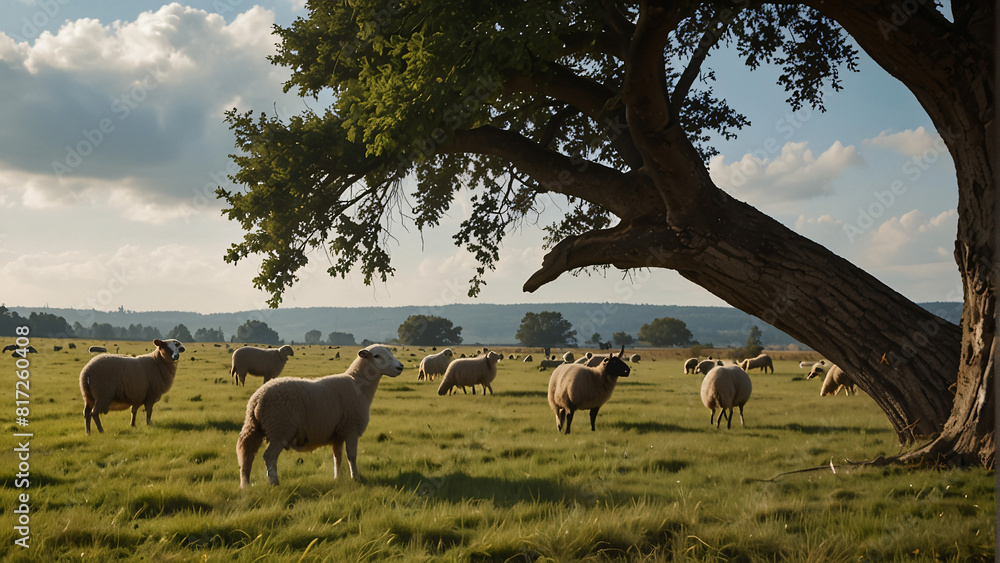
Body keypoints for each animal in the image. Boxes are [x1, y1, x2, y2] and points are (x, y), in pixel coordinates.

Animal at [237, 344, 403, 487]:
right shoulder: (351, 428)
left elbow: (337, 457)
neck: (358, 383)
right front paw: (355, 477)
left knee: (247, 453)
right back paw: (274, 482)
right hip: (280, 428)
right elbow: (351, 455)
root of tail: (256, 399)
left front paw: (338, 478)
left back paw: (246, 483)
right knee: (269, 456)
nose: (400, 367)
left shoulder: (337, 434)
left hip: (255, 426)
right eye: (377, 356)